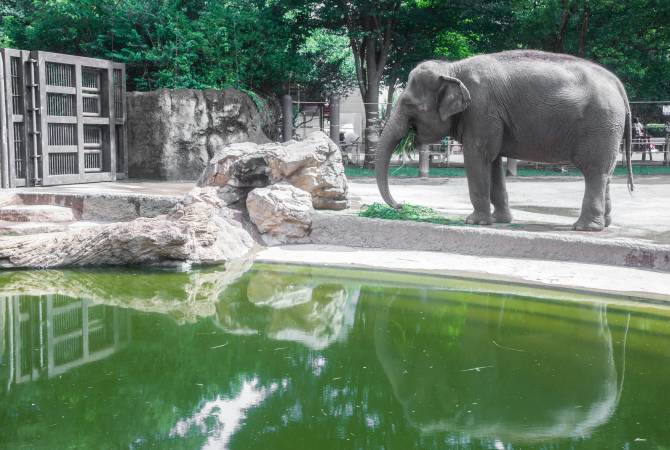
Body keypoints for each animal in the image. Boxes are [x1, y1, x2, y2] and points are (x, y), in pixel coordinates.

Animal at [378, 50, 636, 232]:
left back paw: (584, 228)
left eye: (408, 104)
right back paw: (604, 224)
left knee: (594, 172)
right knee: (605, 173)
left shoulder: (481, 109)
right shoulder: (489, 118)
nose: (401, 206)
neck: (452, 67)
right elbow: (492, 162)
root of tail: (618, 85)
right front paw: (501, 220)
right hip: (608, 129)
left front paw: (474, 222)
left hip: (600, 124)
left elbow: (477, 157)